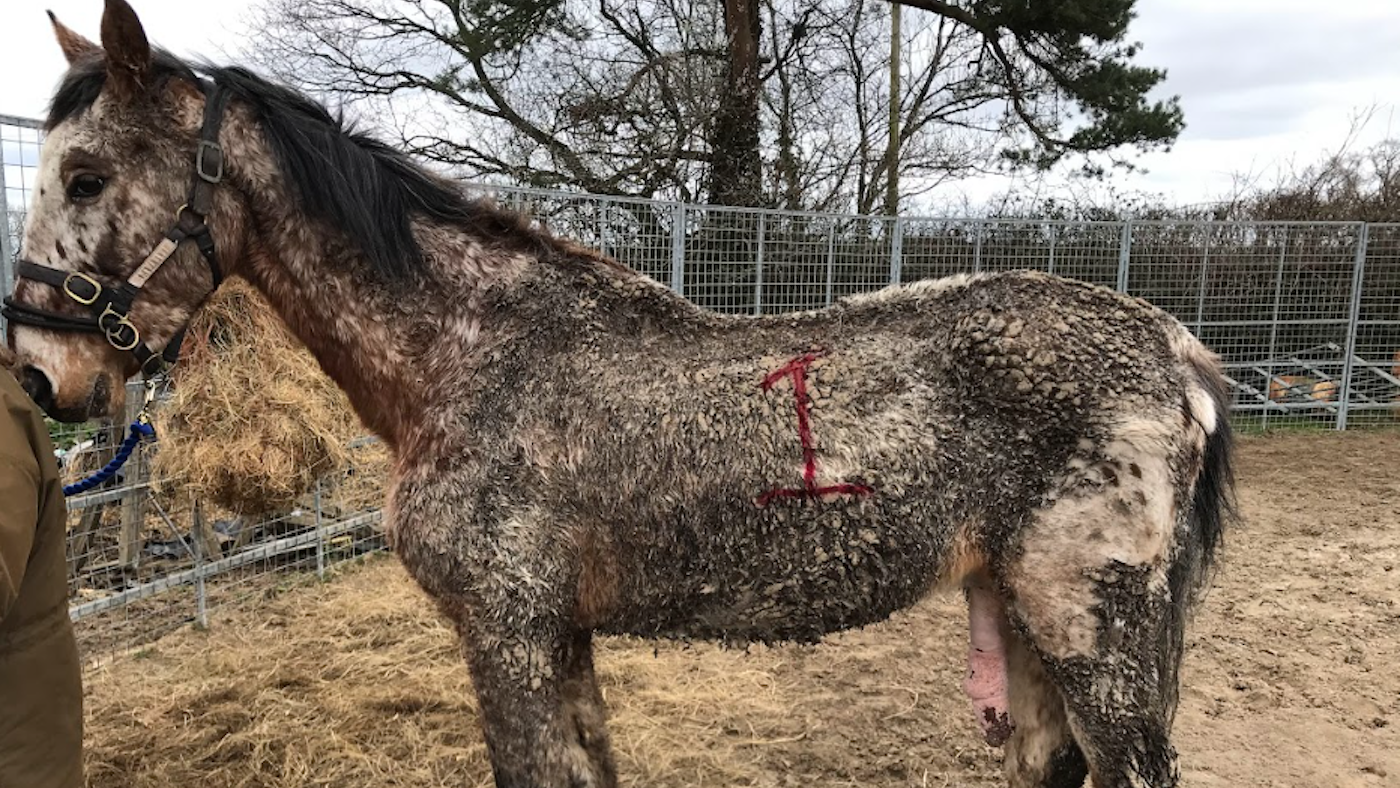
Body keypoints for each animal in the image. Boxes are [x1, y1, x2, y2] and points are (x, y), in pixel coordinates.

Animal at [4, 3, 1235, 786]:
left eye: (86, 176)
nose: (38, 370)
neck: (472, 353)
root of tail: (1180, 352)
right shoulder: (560, 634)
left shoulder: (505, 631)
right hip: (1027, 618)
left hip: (1095, 627)